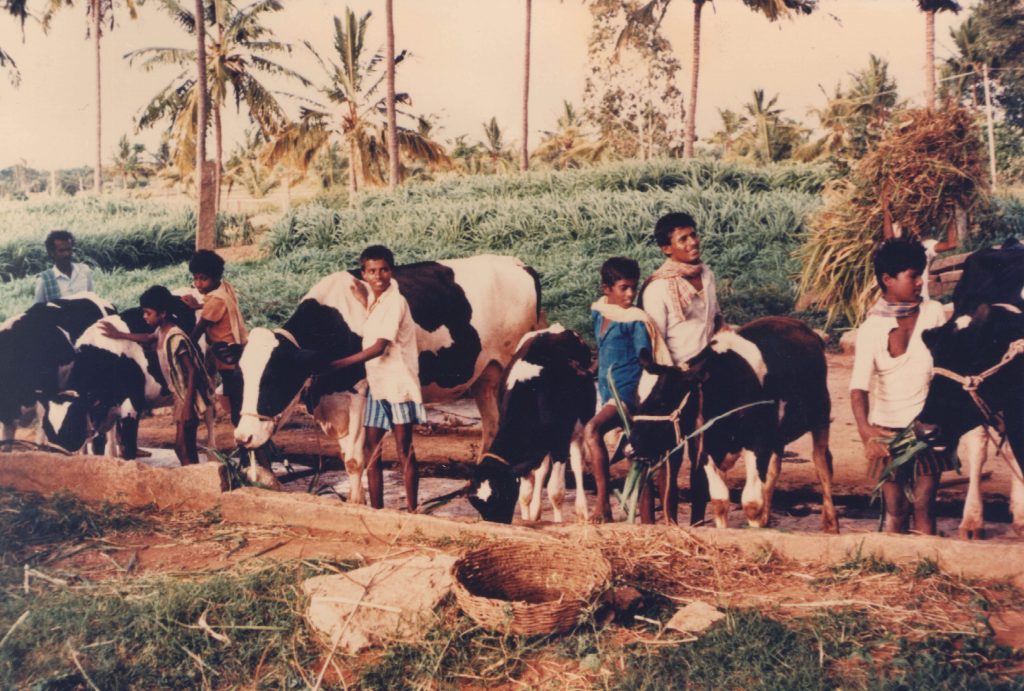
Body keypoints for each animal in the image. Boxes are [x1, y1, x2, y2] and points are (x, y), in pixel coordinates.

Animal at [468, 327, 598, 522]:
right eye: (477, 504)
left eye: (503, 496)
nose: (496, 524)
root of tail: (557, 329)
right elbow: (525, 492)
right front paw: (527, 518)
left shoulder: (560, 441)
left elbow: (555, 491)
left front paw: (558, 522)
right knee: (542, 469)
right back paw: (537, 510)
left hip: (580, 424)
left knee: (577, 462)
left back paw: (582, 509)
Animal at [622, 315, 839, 532]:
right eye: (637, 400)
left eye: (663, 402)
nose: (630, 449)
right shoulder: (706, 447)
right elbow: (719, 500)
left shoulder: (757, 442)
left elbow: (751, 503)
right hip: (778, 433)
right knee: (773, 471)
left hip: (821, 415)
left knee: (822, 463)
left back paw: (831, 525)